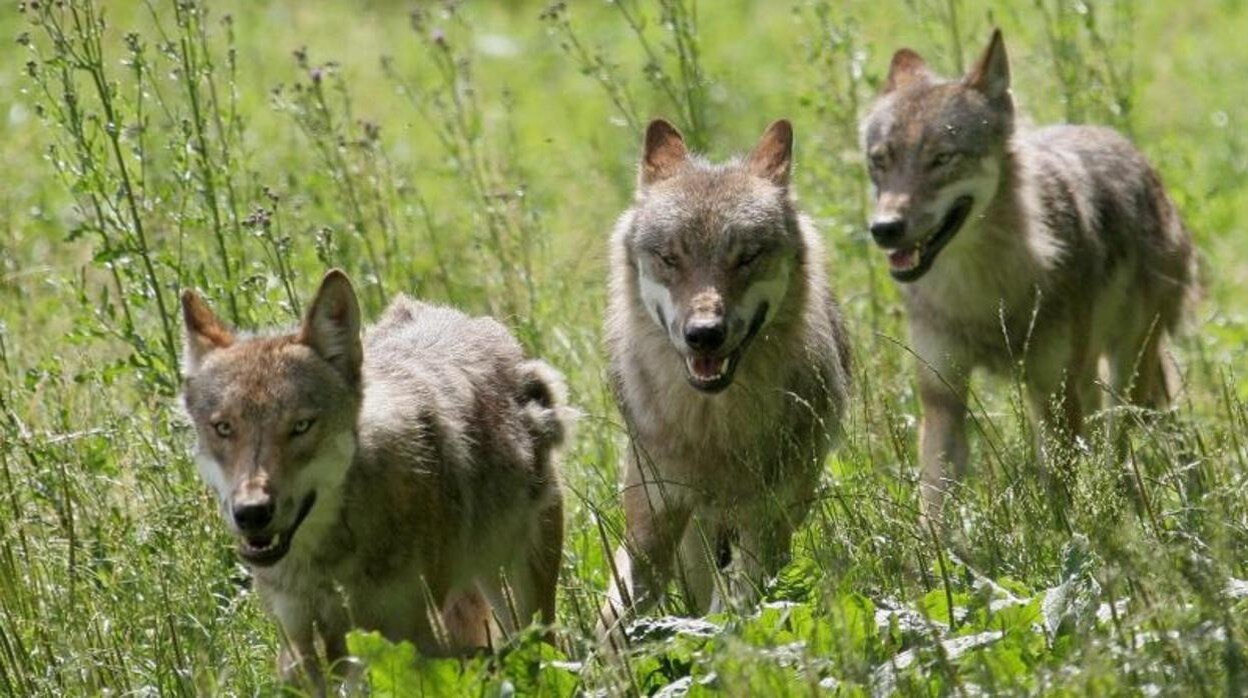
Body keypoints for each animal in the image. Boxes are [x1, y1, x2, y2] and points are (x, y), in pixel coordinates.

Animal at [180, 270, 571, 689]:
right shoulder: (300, 639)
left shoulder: (400, 638)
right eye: (223, 428)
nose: (252, 512)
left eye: (301, 427)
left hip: (521, 605)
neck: (326, 560)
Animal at [599, 118, 853, 644]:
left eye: (747, 257)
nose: (704, 334)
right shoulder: (650, 523)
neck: (713, 429)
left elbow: (731, 608)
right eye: (670, 258)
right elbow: (612, 620)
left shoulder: (766, 523)